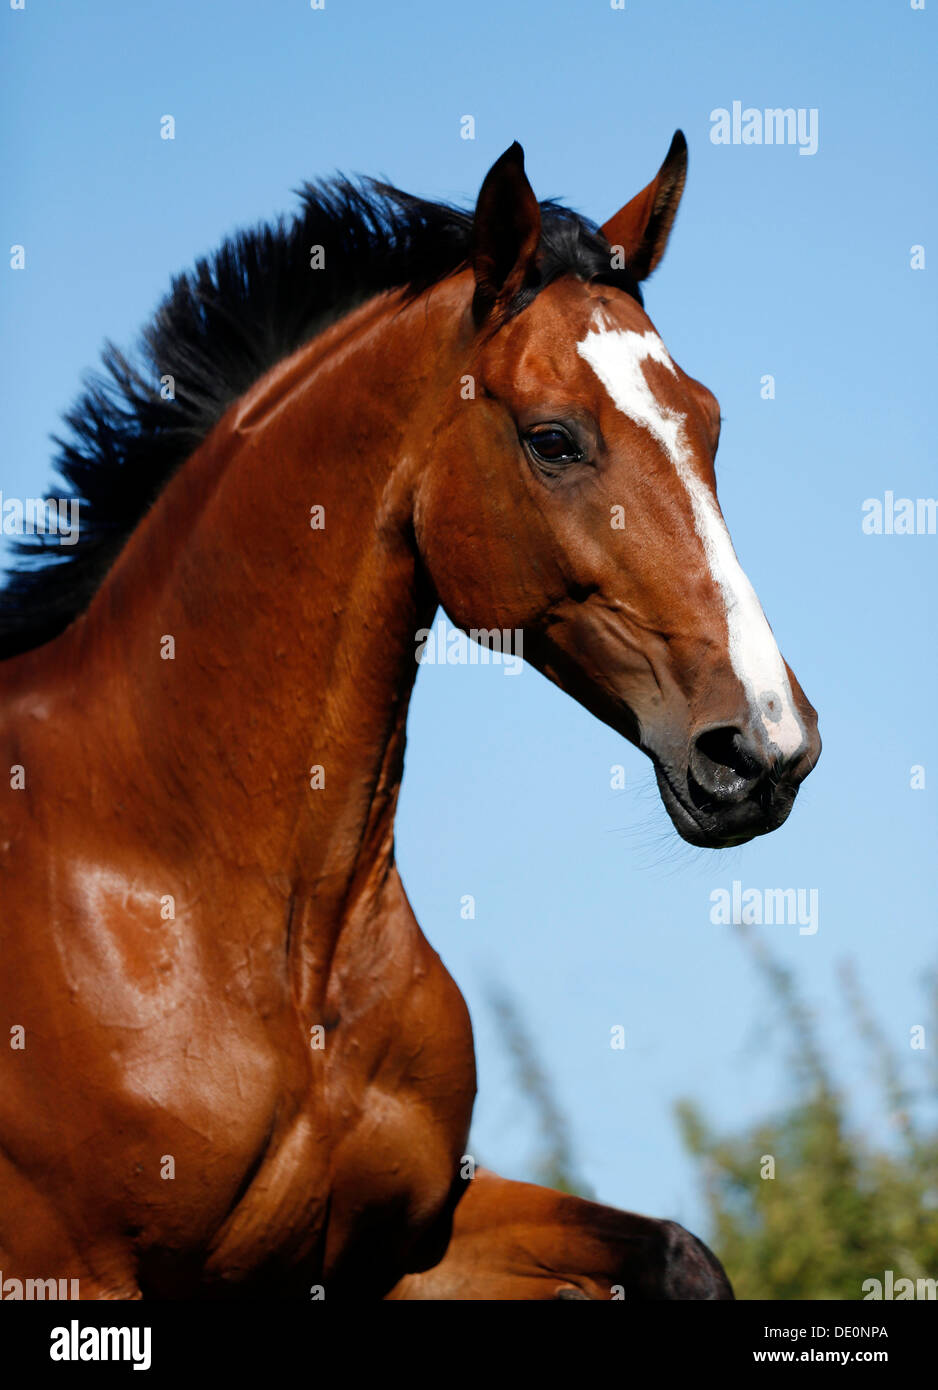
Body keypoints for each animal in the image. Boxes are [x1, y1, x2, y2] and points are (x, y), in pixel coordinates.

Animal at [0, 135, 817, 1295]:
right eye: (554, 440)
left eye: (707, 422)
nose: (764, 748)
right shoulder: (72, 1270)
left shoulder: (406, 1245)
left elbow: (678, 1253)